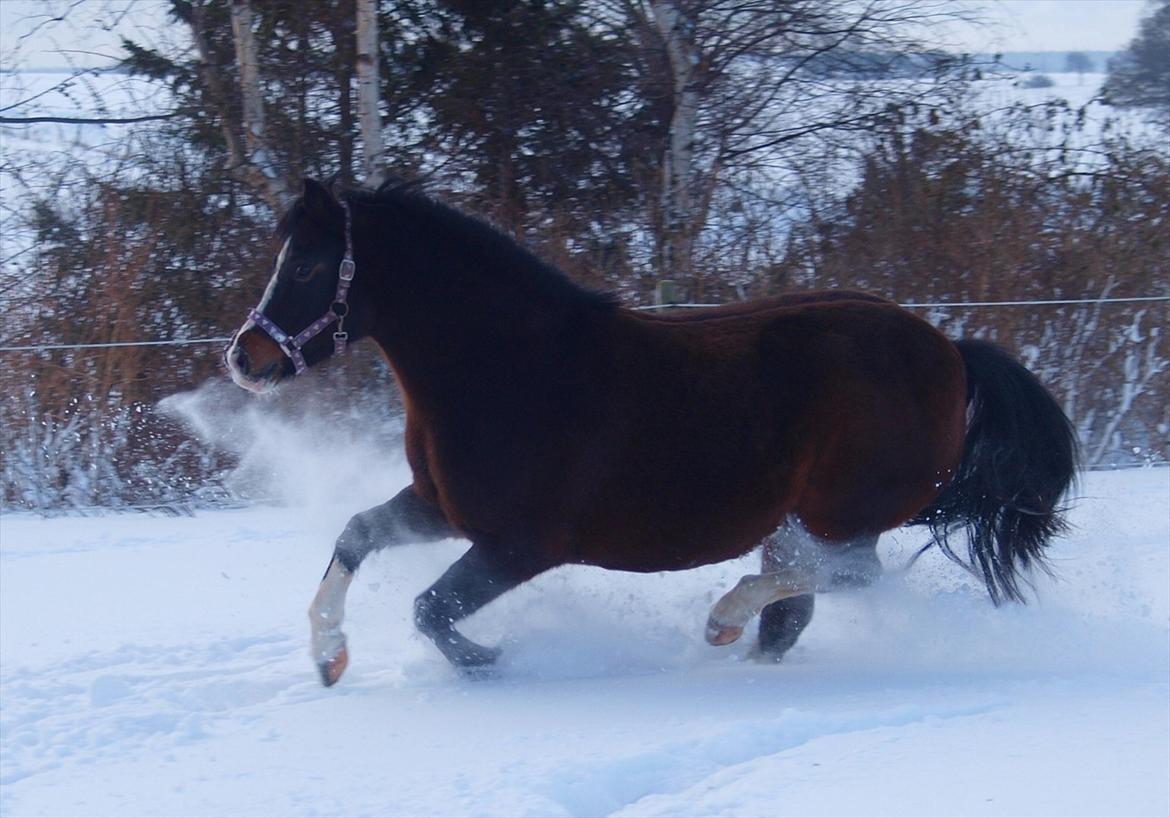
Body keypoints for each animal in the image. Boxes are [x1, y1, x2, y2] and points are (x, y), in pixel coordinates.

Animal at [225, 179, 1076, 683]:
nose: (244, 357)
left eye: (308, 268)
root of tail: (950, 351)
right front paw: (329, 656)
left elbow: (431, 609)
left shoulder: (522, 545)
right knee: (798, 604)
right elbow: (356, 535)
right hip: (805, 521)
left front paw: (487, 659)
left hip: (844, 516)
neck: (509, 368)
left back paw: (724, 616)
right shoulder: (441, 509)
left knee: (845, 578)